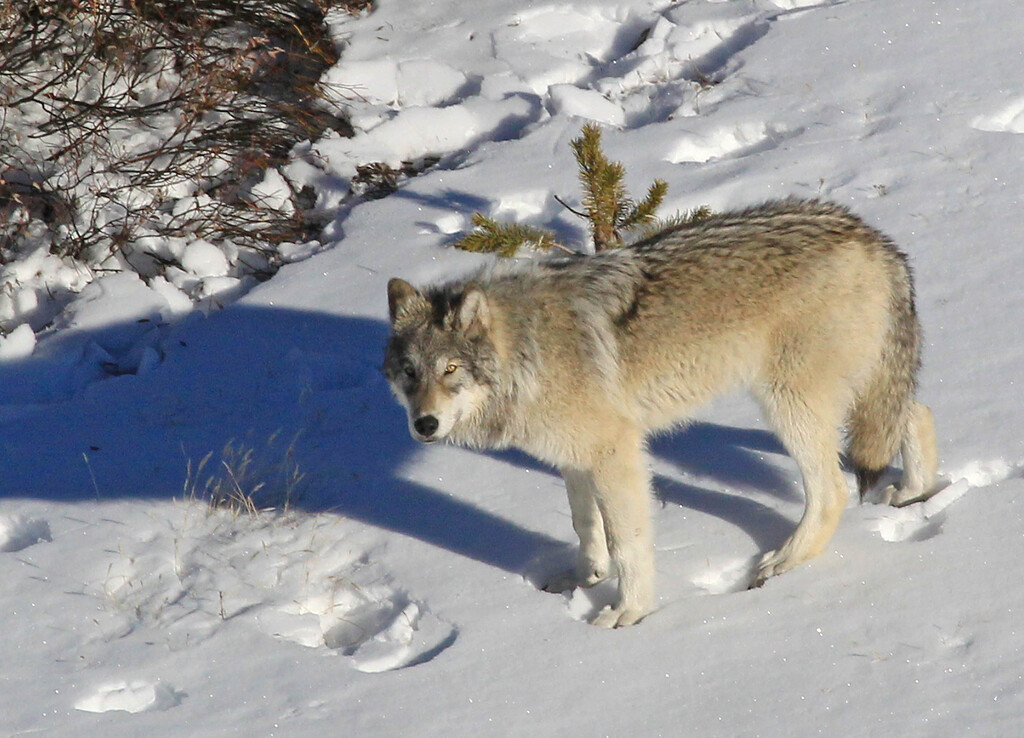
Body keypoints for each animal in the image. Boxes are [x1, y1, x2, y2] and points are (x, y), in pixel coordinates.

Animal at [382, 197, 937, 626]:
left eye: (451, 369)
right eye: (410, 372)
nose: (424, 424)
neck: (529, 349)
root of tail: (873, 237)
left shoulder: (616, 452)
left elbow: (627, 542)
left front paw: (629, 612)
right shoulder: (574, 457)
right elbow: (584, 525)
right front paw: (584, 579)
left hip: (789, 405)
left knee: (833, 491)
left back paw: (783, 562)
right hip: (854, 391)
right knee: (917, 412)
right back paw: (914, 492)